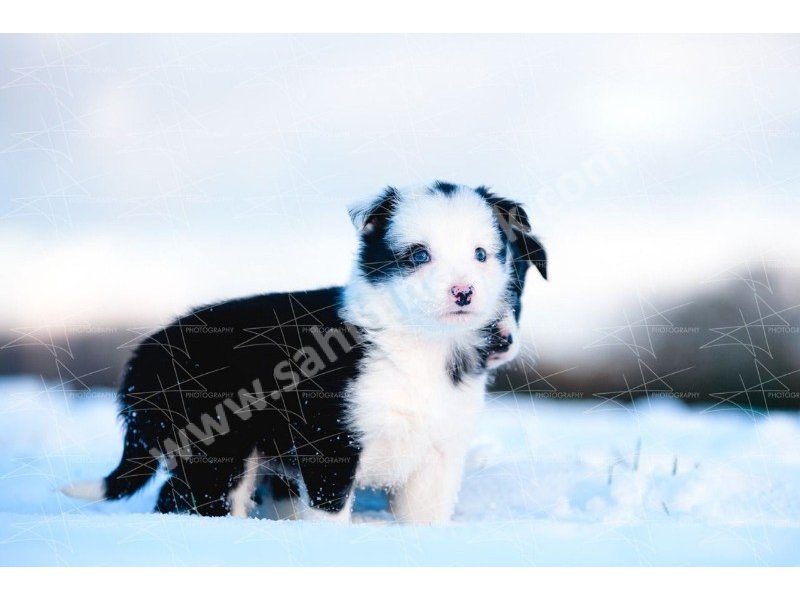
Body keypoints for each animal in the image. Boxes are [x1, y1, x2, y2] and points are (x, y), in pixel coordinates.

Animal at [64, 180, 544, 524]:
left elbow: (425, 517)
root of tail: (143, 358)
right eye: (419, 255)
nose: (463, 292)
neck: (421, 344)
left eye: (482, 254)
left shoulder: (438, 455)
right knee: (187, 500)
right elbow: (330, 511)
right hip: (219, 447)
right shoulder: (329, 437)